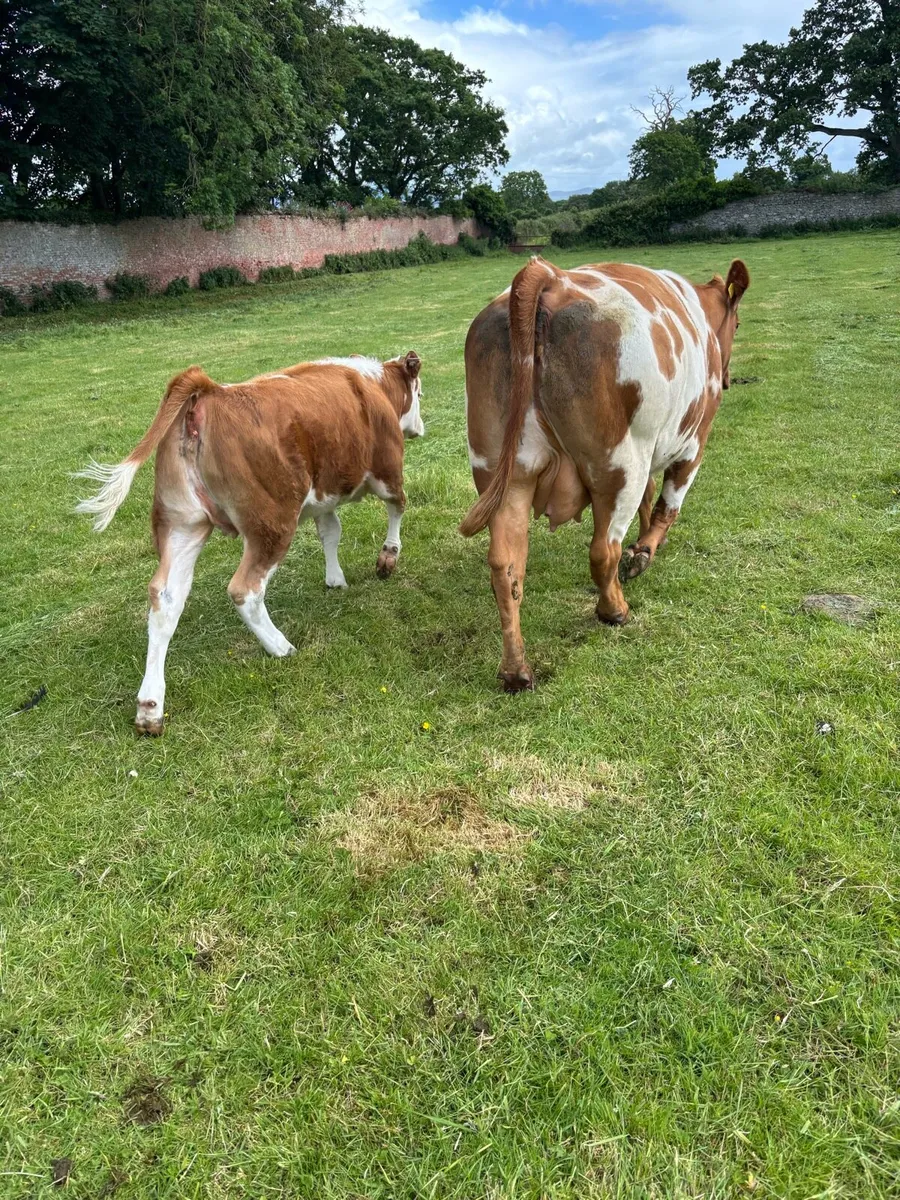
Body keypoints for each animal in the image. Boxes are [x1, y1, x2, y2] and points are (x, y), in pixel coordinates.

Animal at [75, 352, 425, 734]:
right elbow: (397, 507)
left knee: (165, 599)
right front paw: (388, 557)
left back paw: (150, 706)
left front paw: (335, 579)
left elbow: (331, 531)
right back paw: (280, 646)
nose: (420, 427)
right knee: (246, 590)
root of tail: (209, 392)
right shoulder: (387, 469)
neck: (372, 385)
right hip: (271, 523)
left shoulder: (323, 496)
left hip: (183, 524)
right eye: (420, 392)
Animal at [460, 256, 749, 692]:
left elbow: (651, 498)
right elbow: (666, 505)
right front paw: (643, 552)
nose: (730, 379)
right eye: (738, 323)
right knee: (602, 550)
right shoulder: (693, 443)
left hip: (501, 471)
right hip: (618, 465)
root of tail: (550, 276)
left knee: (505, 568)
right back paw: (614, 609)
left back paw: (516, 670)